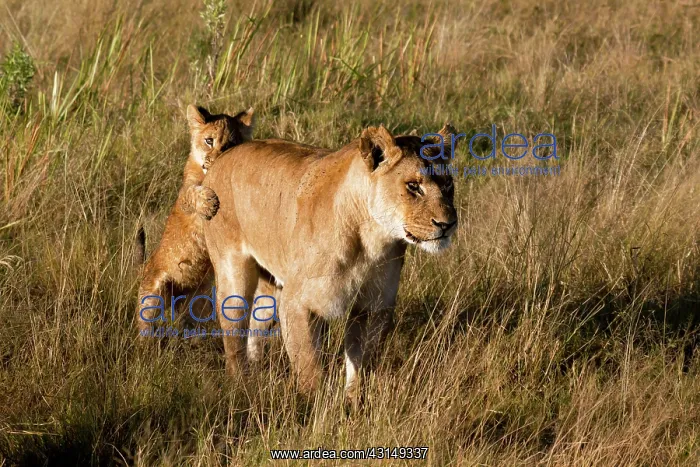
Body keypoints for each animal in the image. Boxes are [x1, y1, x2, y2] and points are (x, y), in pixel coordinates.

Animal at [136, 105, 254, 332]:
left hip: (199, 302)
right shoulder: (184, 195)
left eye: (230, 144)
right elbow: (193, 193)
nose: (215, 159)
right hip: (153, 293)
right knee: (145, 324)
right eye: (209, 141)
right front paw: (208, 203)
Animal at [201, 123, 458, 399]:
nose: (447, 224)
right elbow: (309, 370)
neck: (371, 240)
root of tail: (226, 154)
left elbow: (360, 366)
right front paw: (311, 406)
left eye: (448, 184)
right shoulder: (298, 303)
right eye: (413, 186)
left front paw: (354, 403)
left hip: (271, 284)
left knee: (256, 324)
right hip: (233, 273)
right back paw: (241, 384)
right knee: (234, 330)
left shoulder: (373, 306)